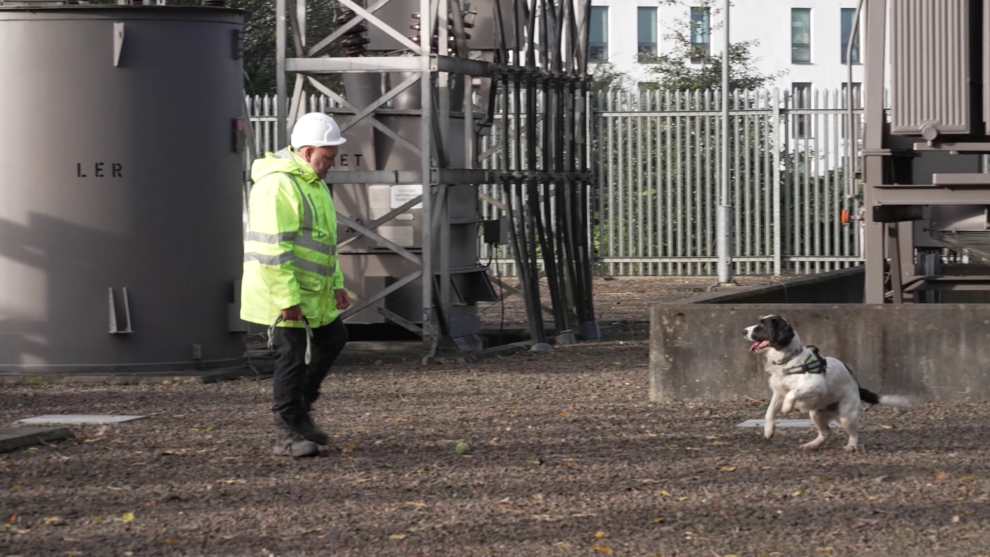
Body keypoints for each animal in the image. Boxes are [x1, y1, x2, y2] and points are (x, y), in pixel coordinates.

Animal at [744, 312, 916, 452]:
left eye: (762, 325)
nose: (744, 331)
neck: (789, 360)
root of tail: (857, 385)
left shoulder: (816, 386)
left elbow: (793, 393)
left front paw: (787, 408)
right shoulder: (779, 391)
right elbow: (769, 411)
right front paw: (768, 430)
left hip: (847, 415)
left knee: (854, 432)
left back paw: (851, 446)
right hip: (816, 413)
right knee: (826, 432)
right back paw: (811, 445)